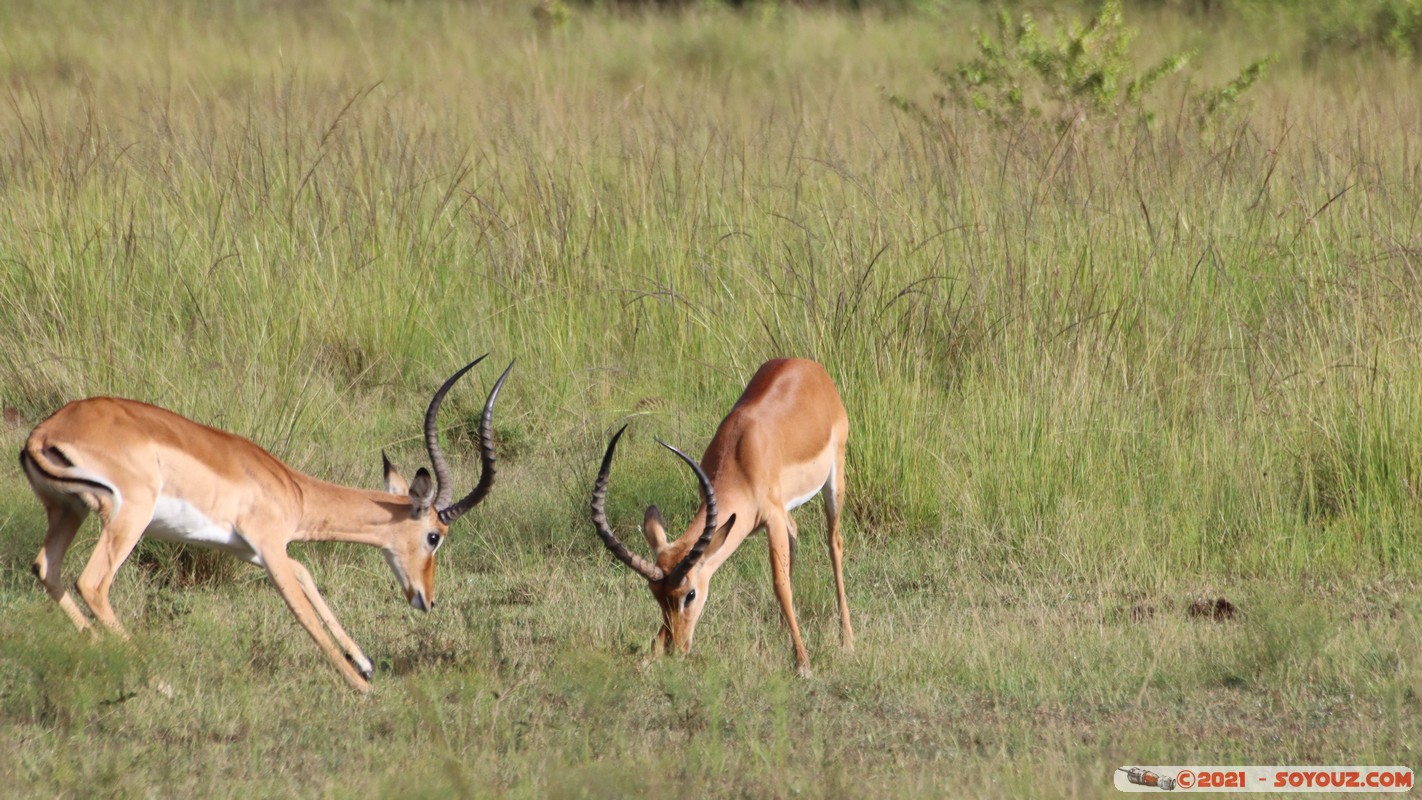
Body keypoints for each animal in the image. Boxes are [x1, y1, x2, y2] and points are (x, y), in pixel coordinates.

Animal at [18, 356, 512, 693]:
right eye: (434, 536)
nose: (427, 599)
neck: (291, 489)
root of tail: (43, 432)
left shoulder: (252, 550)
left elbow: (307, 574)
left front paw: (365, 662)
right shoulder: (270, 547)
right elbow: (301, 609)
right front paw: (362, 686)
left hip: (68, 512)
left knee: (46, 568)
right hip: (127, 517)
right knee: (92, 583)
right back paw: (159, 680)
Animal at [590, 358, 851, 676]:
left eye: (690, 594)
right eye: (655, 593)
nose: (676, 648)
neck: (742, 454)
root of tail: (807, 365)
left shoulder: (772, 517)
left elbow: (780, 584)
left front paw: (803, 664)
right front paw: (650, 654)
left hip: (834, 480)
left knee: (834, 543)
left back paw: (846, 641)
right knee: (796, 532)